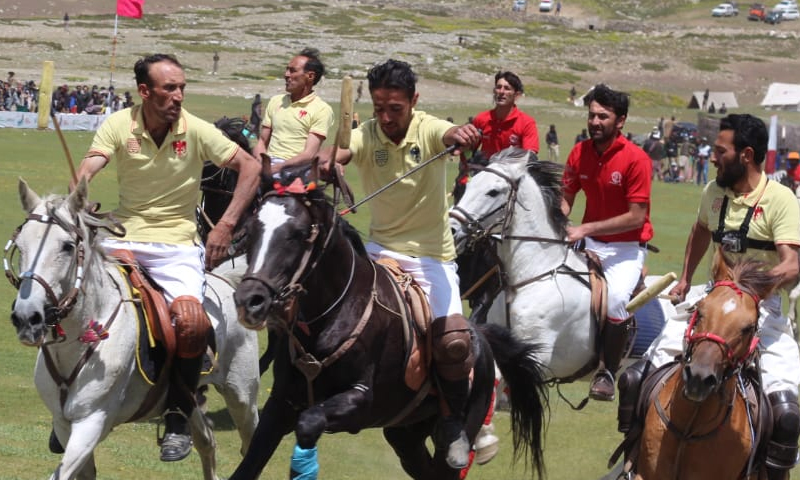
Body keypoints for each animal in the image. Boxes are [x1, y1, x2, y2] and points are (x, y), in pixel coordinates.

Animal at [229, 184, 550, 480]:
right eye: (251, 230)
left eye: (297, 233)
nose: (250, 300)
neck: (332, 314)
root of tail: (480, 336)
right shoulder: (281, 403)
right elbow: (248, 466)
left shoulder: (360, 401)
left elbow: (308, 423)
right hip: (406, 432)